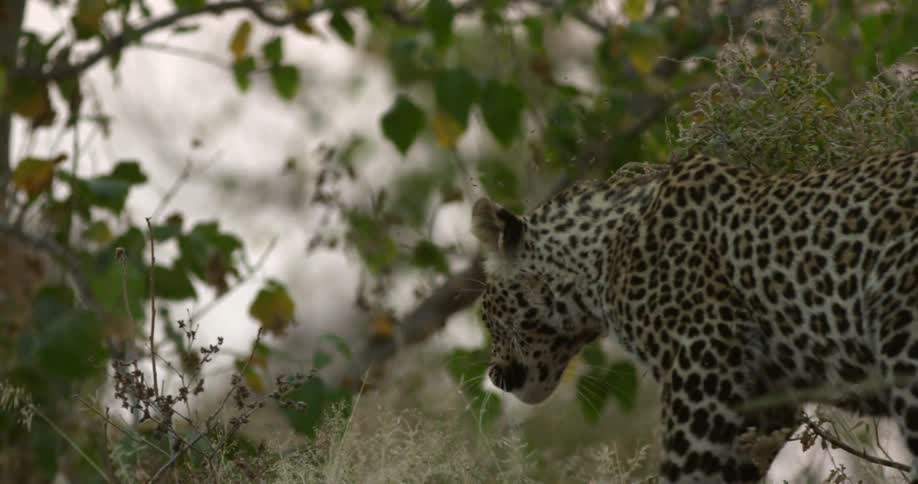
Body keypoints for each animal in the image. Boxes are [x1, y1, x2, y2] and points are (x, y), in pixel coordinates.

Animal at [471, 150, 918, 483]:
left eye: (486, 313)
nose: (492, 373)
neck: (596, 258)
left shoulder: (702, 366)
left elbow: (685, 466)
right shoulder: (765, 400)